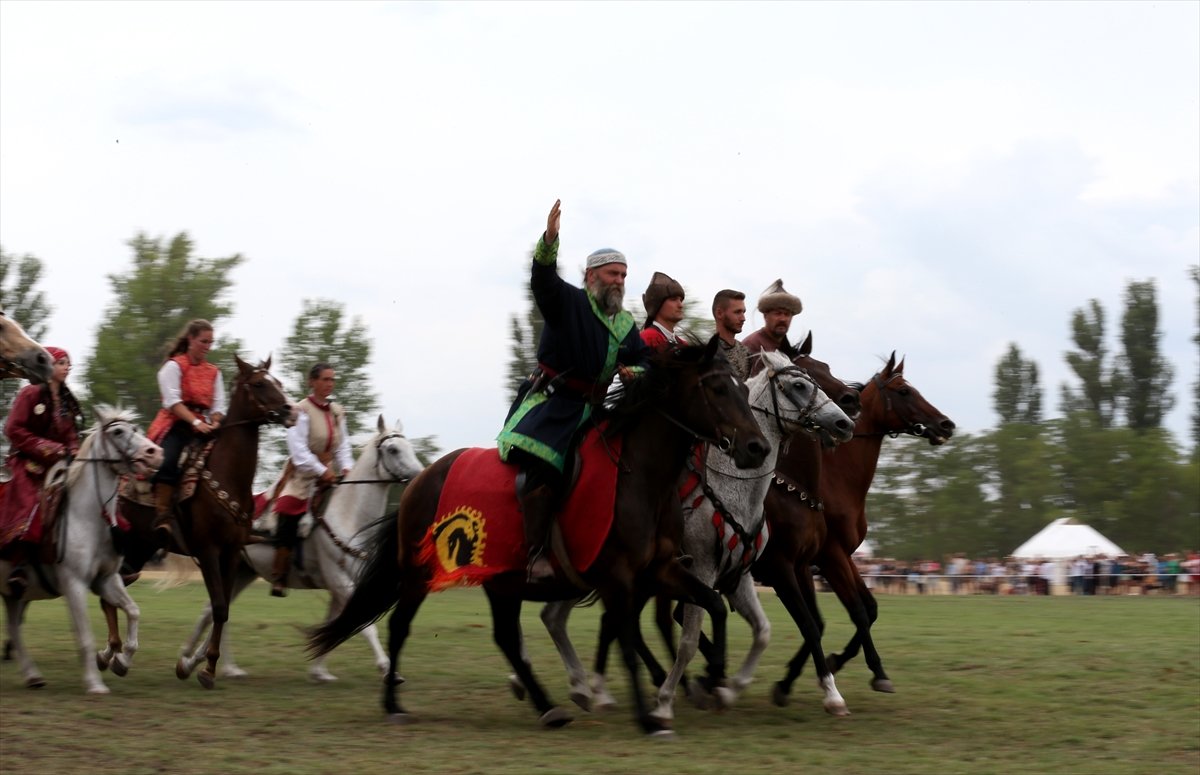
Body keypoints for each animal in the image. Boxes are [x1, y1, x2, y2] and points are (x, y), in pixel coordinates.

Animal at [0, 410, 162, 695]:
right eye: (117, 432)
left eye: (134, 428)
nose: (154, 453)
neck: (87, 517)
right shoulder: (74, 583)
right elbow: (84, 635)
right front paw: (95, 683)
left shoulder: (107, 579)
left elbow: (133, 611)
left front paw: (121, 661)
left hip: (13, 593)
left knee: (14, 628)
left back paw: (32, 676)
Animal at [117, 355, 295, 691]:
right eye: (258, 383)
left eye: (278, 382)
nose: (290, 411)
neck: (228, 476)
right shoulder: (209, 551)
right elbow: (219, 607)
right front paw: (205, 668)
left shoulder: (232, 553)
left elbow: (221, 610)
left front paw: (202, 667)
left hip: (138, 548)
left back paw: (117, 656)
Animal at [175, 415, 424, 681]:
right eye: (393, 449)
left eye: (410, 448)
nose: (419, 477)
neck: (347, 516)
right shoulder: (338, 579)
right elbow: (363, 626)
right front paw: (387, 669)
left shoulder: (343, 583)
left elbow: (335, 623)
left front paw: (319, 671)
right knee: (215, 612)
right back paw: (198, 660)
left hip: (242, 572)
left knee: (213, 611)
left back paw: (205, 662)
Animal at [309, 340, 768, 739]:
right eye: (717, 388)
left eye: (743, 388)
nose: (757, 447)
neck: (640, 477)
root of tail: (421, 479)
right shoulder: (619, 580)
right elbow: (627, 643)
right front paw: (649, 715)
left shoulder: (663, 570)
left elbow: (712, 607)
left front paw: (715, 679)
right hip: (419, 574)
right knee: (402, 626)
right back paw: (393, 703)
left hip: (501, 582)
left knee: (507, 639)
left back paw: (547, 707)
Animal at [525, 352, 854, 724]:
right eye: (800, 384)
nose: (844, 422)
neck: (737, 490)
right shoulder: (714, 570)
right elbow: (692, 638)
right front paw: (669, 701)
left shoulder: (738, 576)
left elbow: (764, 631)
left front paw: (730, 687)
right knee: (595, 620)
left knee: (575, 618)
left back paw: (591, 688)